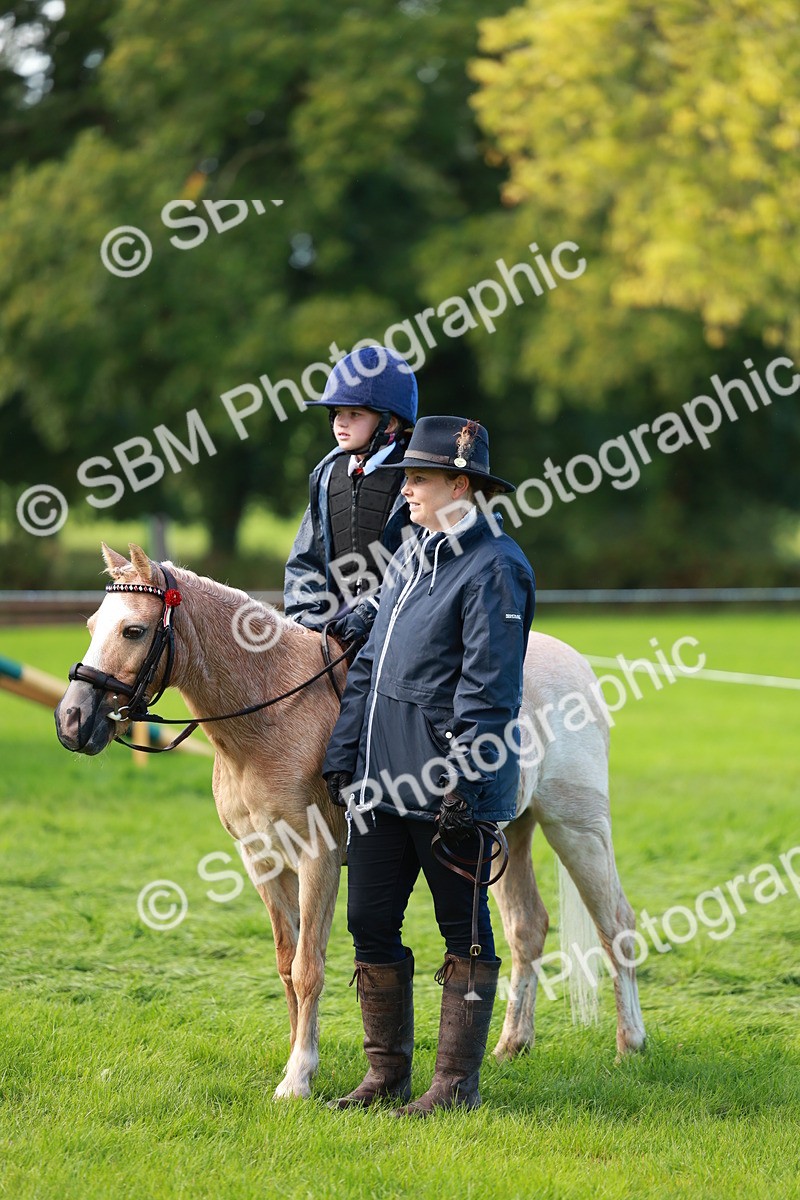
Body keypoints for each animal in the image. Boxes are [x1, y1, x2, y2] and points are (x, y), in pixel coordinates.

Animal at [54, 543, 645, 1098]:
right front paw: (300, 1060)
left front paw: (297, 1080)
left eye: (134, 630)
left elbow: (308, 968)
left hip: (576, 828)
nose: (72, 721)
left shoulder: (317, 858)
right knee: (528, 928)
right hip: (497, 838)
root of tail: (574, 663)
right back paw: (511, 1045)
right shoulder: (262, 860)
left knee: (616, 924)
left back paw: (631, 1046)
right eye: (91, 626)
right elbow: (286, 963)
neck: (270, 716)